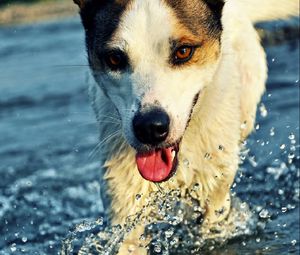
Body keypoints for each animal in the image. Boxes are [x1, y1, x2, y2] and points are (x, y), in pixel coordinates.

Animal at [72, 0, 298, 253]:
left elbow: (212, 226)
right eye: (114, 59)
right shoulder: (124, 194)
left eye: (183, 51)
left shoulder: (213, 186)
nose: (150, 127)